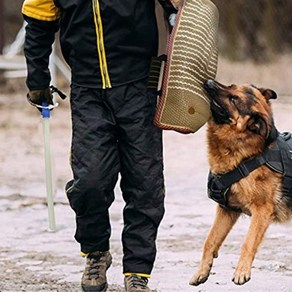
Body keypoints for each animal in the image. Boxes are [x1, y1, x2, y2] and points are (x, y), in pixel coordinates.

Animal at [189, 79, 292, 286]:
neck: (247, 156)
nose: (208, 82)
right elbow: (210, 240)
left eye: (234, 99)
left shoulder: (262, 211)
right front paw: (202, 271)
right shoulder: (227, 210)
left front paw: (241, 271)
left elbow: (248, 242)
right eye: (230, 86)